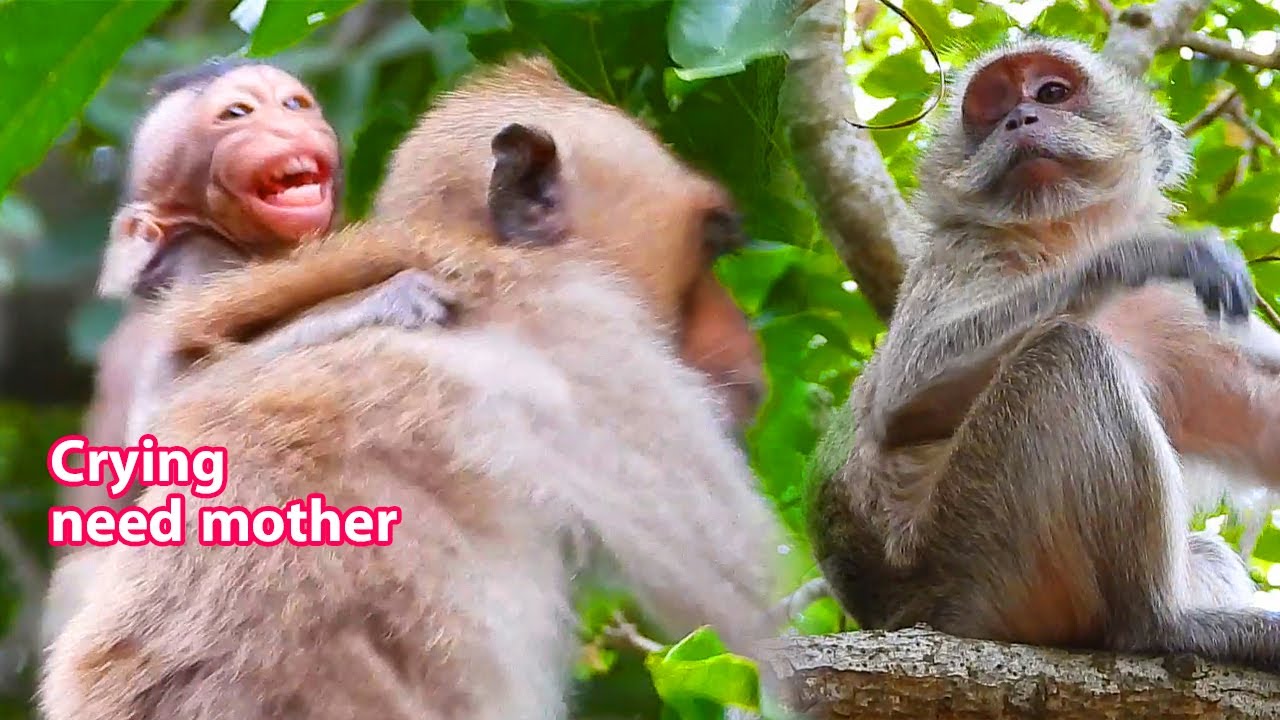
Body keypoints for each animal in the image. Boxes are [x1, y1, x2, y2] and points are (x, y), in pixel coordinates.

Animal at [808, 37, 1280, 674]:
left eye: (1052, 92)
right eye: (994, 106)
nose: (1019, 117)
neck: (1059, 235)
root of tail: (891, 615)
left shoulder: (1175, 319)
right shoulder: (961, 250)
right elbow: (907, 392)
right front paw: (1141, 252)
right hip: (977, 559)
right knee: (1067, 352)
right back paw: (1160, 623)